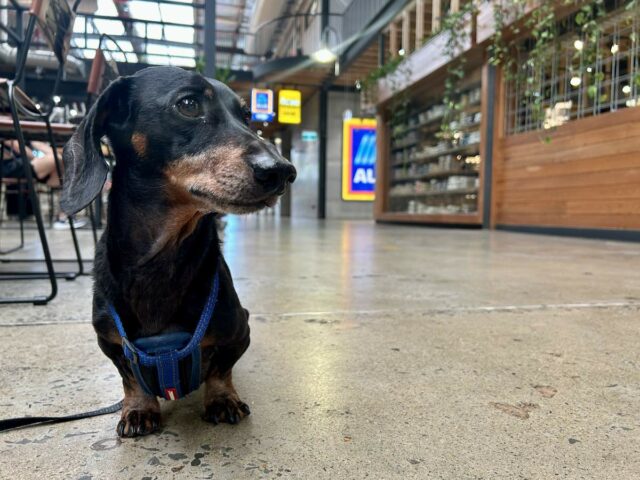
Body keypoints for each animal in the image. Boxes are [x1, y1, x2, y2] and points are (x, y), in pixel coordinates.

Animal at [61, 65, 296, 436]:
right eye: (188, 104)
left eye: (246, 116)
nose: (283, 171)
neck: (162, 259)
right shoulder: (110, 342)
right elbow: (130, 379)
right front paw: (139, 407)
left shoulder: (239, 331)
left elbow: (221, 370)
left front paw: (222, 399)